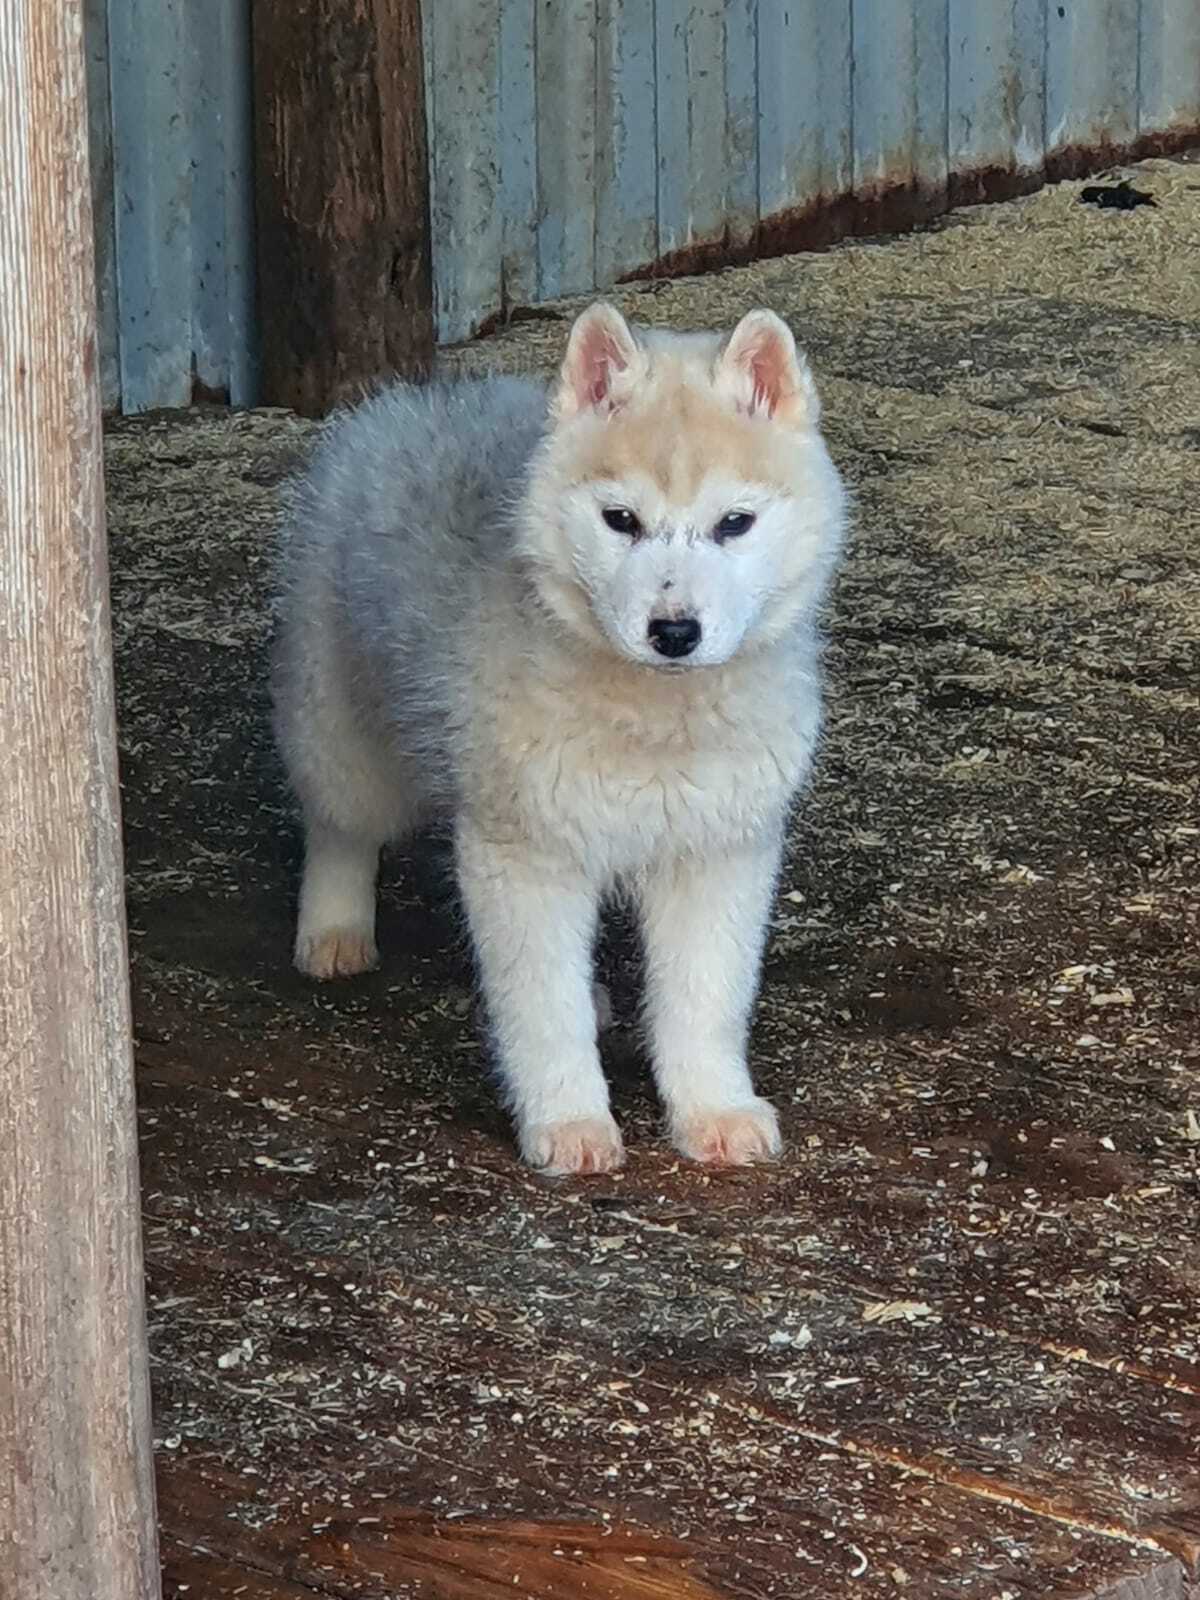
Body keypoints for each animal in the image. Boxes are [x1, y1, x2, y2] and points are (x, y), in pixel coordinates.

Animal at [276, 302, 851, 1177]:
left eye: (734, 525)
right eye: (621, 521)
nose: (674, 631)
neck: (656, 716)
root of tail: (410, 402)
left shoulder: (721, 850)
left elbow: (705, 998)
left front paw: (712, 1109)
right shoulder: (525, 851)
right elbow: (543, 1007)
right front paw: (570, 1120)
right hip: (342, 722)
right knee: (340, 824)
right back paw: (334, 930)